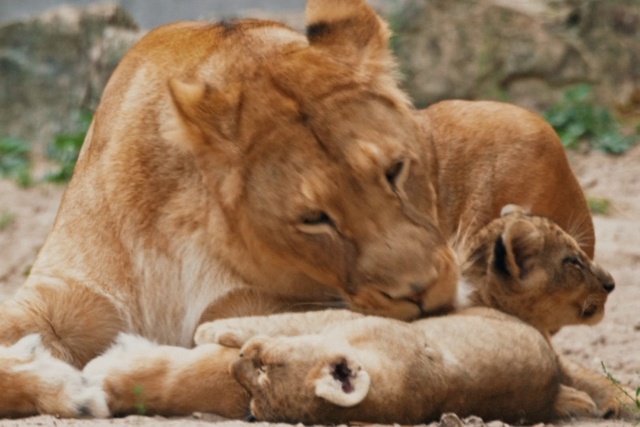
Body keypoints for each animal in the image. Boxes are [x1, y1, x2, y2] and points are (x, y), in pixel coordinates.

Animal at [0, 0, 597, 417]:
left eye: (395, 170)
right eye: (314, 219)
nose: (428, 295)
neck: (177, 230)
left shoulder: (280, 313)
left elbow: (222, 369)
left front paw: (114, 373)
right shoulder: (60, 303)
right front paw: (59, 383)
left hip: (522, 124)